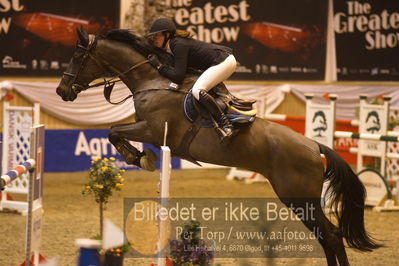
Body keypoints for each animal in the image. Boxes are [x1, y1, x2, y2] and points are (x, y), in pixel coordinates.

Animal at [55, 27, 382, 266]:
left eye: (77, 55)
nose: (61, 90)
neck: (151, 81)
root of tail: (315, 146)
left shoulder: (153, 130)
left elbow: (113, 132)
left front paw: (138, 157)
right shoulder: (147, 129)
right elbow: (115, 132)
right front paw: (139, 157)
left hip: (299, 197)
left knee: (331, 235)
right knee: (329, 236)